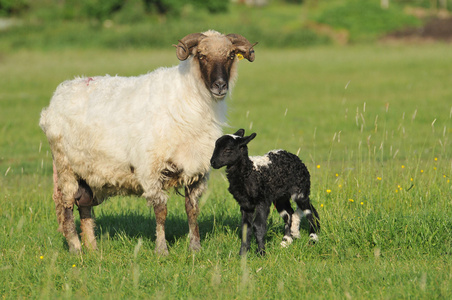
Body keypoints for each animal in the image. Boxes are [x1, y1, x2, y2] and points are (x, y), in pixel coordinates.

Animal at [38, 31, 258, 255]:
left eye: (231, 55)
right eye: (201, 55)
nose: (220, 85)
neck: (191, 99)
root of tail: (58, 95)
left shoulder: (197, 170)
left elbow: (192, 209)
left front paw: (195, 247)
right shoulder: (152, 168)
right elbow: (161, 211)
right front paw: (161, 250)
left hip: (87, 170)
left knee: (84, 204)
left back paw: (92, 249)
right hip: (65, 166)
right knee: (67, 205)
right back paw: (76, 249)